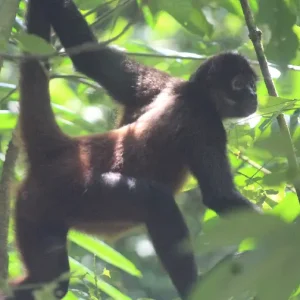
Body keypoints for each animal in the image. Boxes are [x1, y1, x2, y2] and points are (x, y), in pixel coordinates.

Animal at [1, 0, 260, 300]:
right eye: (238, 84)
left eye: (252, 84)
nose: (253, 95)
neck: (193, 93)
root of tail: (64, 148)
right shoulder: (205, 122)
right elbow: (220, 197)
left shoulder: (163, 83)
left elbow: (90, 56)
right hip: (77, 192)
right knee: (155, 200)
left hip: (36, 211)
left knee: (52, 279)